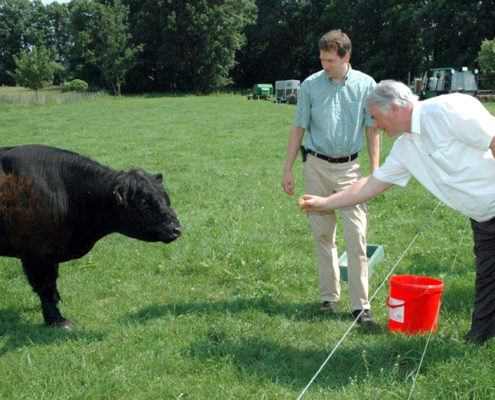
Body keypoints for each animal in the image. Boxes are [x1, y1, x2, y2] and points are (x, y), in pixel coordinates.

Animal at [0, 145, 182, 328]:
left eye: (166, 198)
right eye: (143, 202)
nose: (176, 229)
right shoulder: (36, 255)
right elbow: (46, 288)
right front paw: (57, 320)